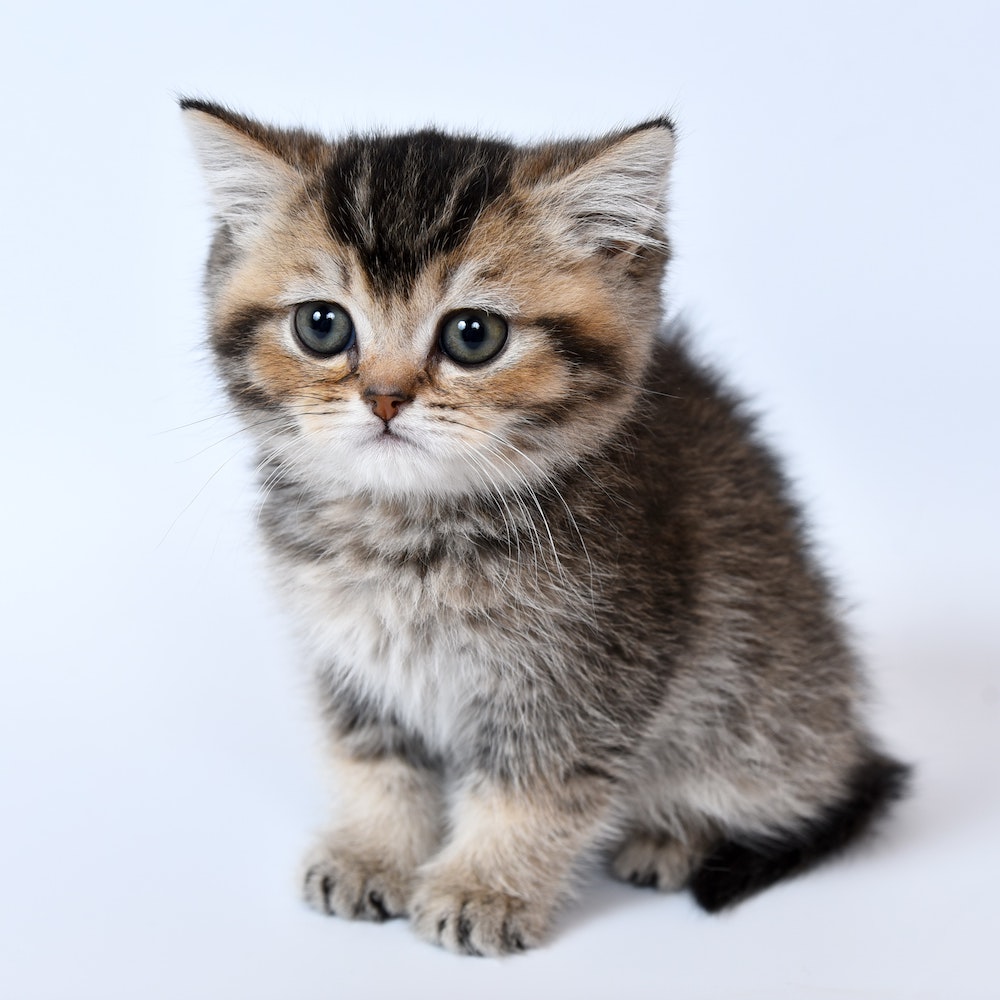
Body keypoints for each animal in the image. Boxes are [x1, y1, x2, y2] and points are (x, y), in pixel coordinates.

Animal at [180, 99, 908, 952]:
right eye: (322, 326)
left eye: (473, 335)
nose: (385, 397)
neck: (407, 534)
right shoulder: (352, 659)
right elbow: (374, 760)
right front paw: (372, 852)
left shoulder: (589, 676)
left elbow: (533, 789)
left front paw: (482, 887)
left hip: (768, 709)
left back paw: (674, 836)